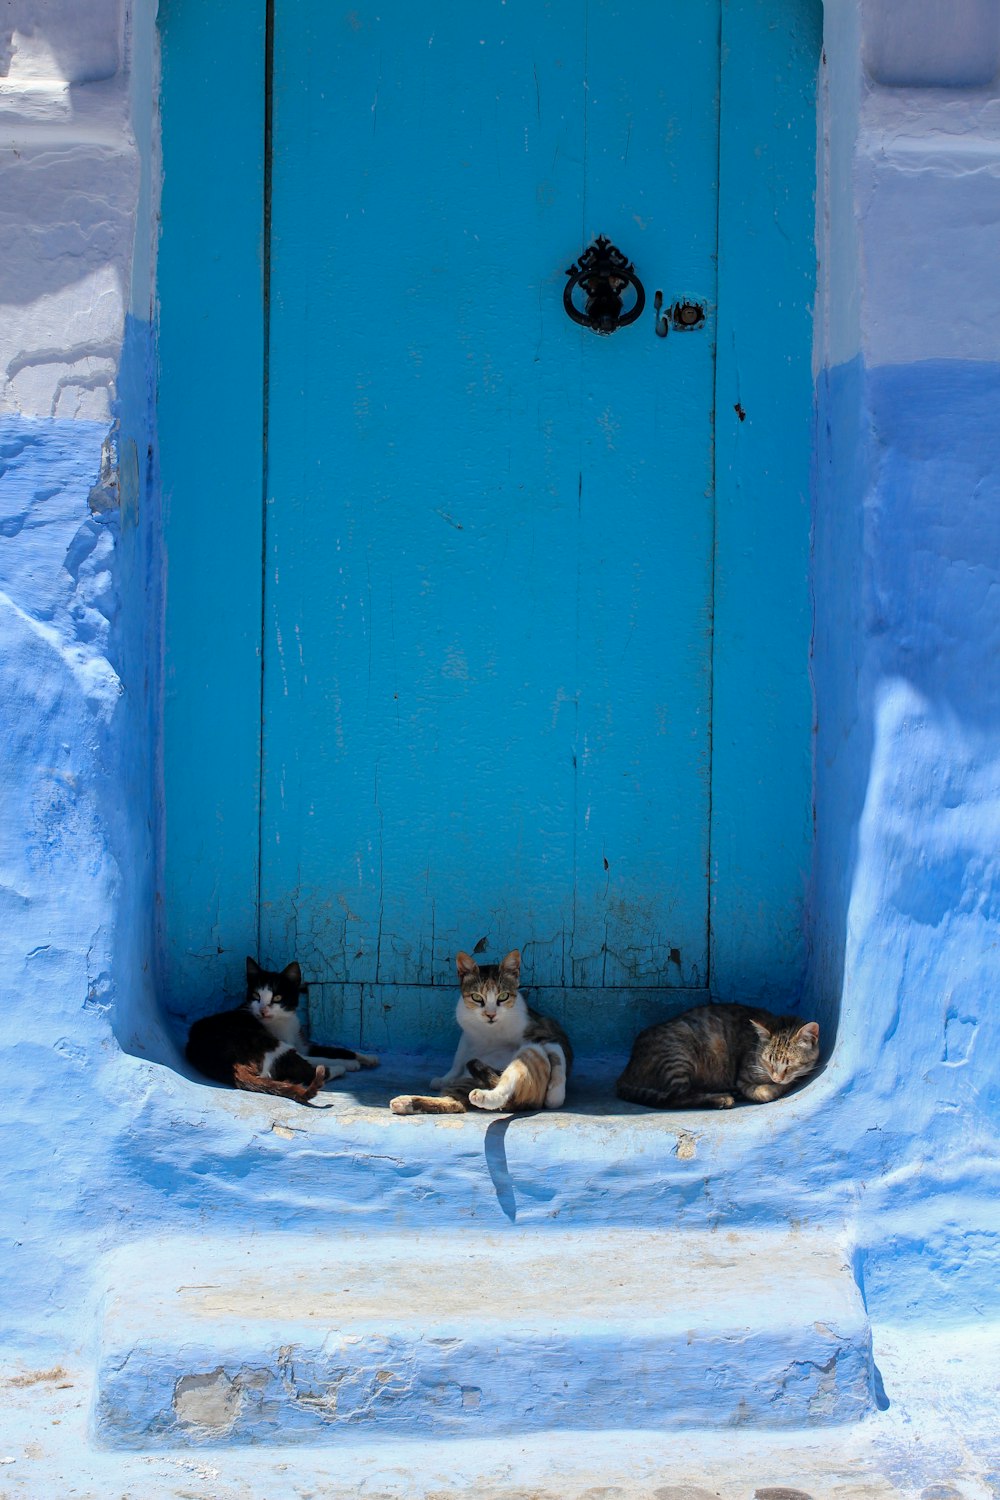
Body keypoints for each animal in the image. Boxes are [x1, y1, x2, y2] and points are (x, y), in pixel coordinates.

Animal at [185, 960, 380, 1104]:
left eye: (277, 997)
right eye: (256, 996)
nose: (263, 1010)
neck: (284, 1021)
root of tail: (228, 1066)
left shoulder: (303, 1044)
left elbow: (338, 1050)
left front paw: (368, 1058)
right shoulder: (290, 1045)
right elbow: (321, 1058)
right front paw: (351, 1063)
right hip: (262, 1042)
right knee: (306, 1071)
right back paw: (338, 1069)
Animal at [392, 948, 578, 1116]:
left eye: (503, 996)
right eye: (476, 997)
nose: (490, 1014)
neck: (491, 1031)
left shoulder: (545, 1033)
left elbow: (559, 1060)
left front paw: (556, 1096)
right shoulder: (467, 1036)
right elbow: (458, 1059)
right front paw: (446, 1078)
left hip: (531, 1052)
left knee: (504, 1088)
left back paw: (483, 1096)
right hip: (467, 1081)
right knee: (455, 1103)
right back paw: (405, 1102)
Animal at [617, 1002, 821, 1110]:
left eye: (789, 1065)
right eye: (768, 1062)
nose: (777, 1078)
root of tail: (625, 1073)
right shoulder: (743, 1078)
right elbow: (764, 1093)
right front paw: (776, 1088)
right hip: (679, 1053)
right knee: (675, 1098)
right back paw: (721, 1098)